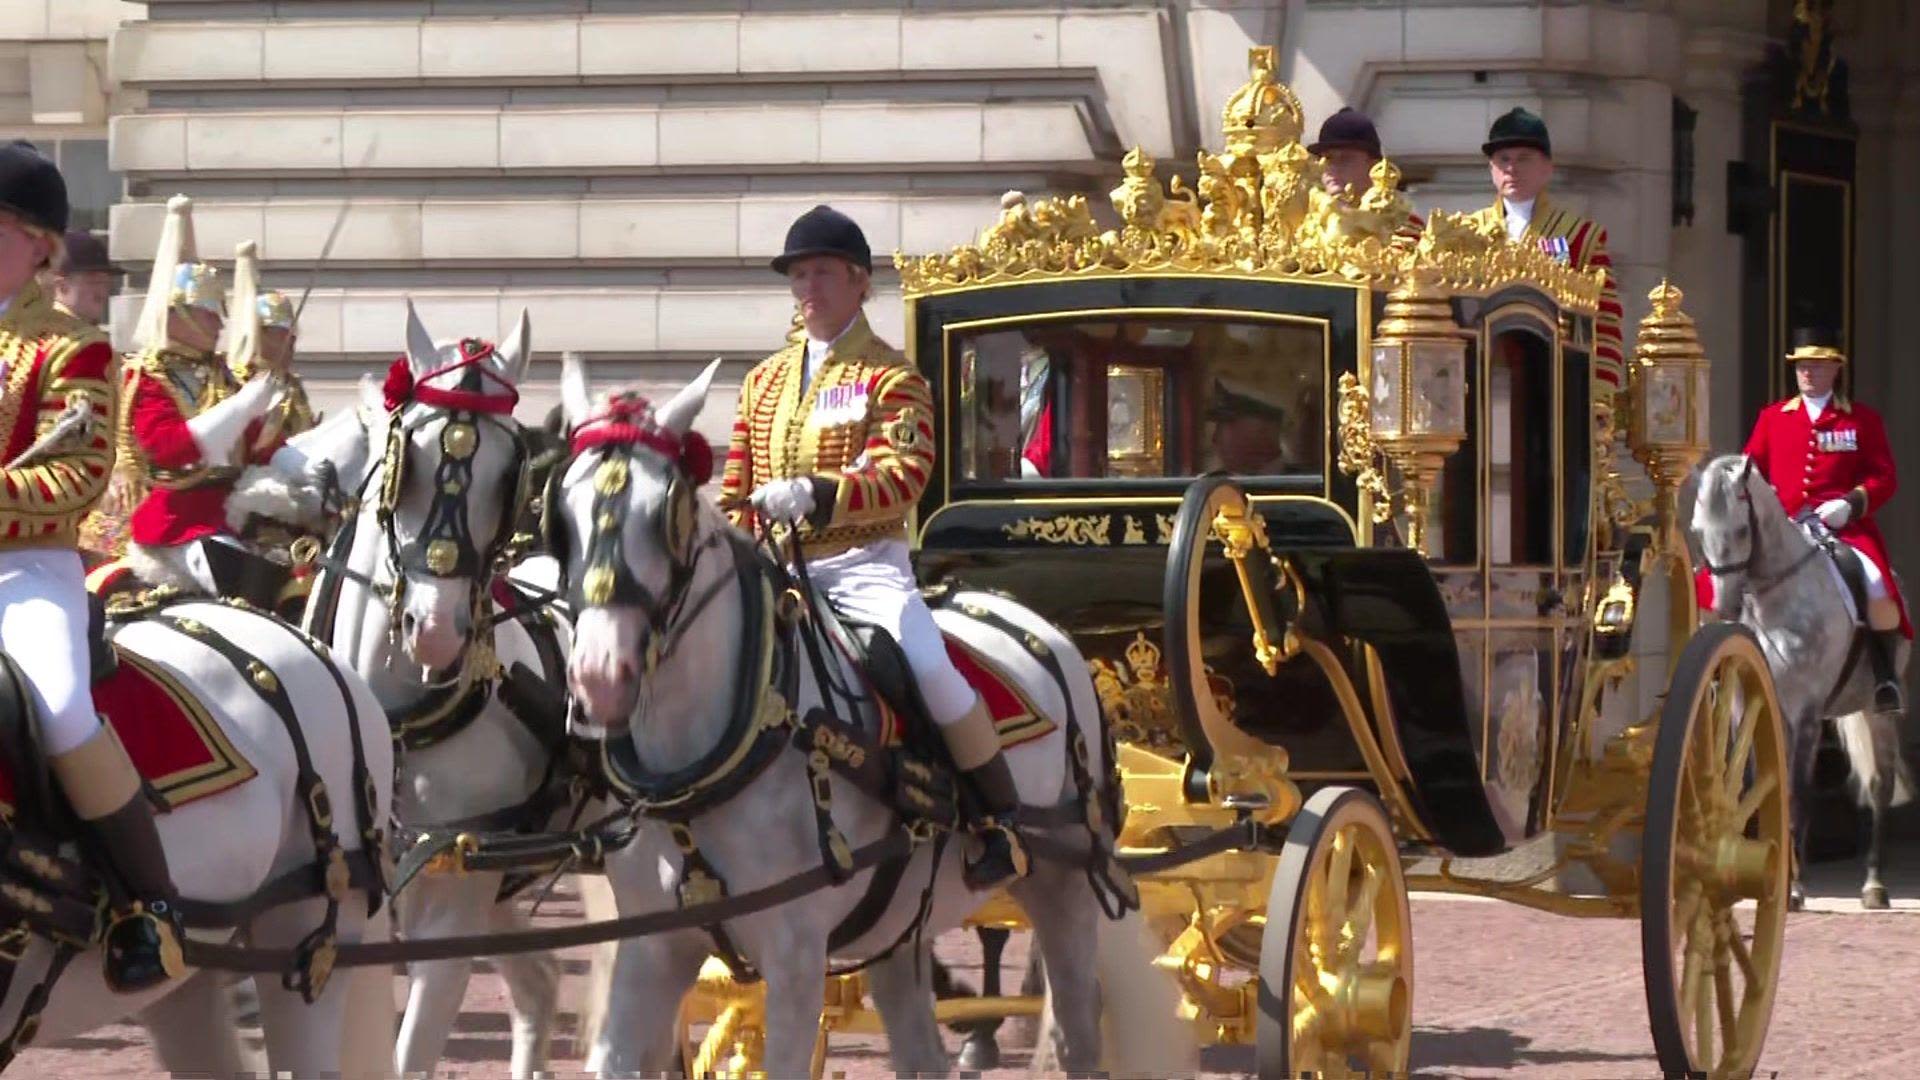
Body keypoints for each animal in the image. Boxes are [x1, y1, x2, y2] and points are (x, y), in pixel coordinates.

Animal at [278, 305, 572, 1076]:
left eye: (507, 475)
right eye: (403, 461)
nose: (435, 630)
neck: (398, 726)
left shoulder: (450, 908)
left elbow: (407, 1057)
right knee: (541, 985)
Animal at [549, 357, 1190, 1068]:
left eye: (670, 512)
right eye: (564, 516)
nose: (601, 675)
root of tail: (1033, 623)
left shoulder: (795, 959)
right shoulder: (652, 950)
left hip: (1064, 887)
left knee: (1077, 1036)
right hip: (900, 926)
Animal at [1697, 449, 1904, 903]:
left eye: (1742, 530)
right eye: (1698, 531)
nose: (1724, 608)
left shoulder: (1806, 712)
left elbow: (1797, 791)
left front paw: (1792, 886)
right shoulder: (1749, 705)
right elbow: (1754, 783)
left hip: (1877, 710)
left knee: (1879, 785)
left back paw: (1874, 882)